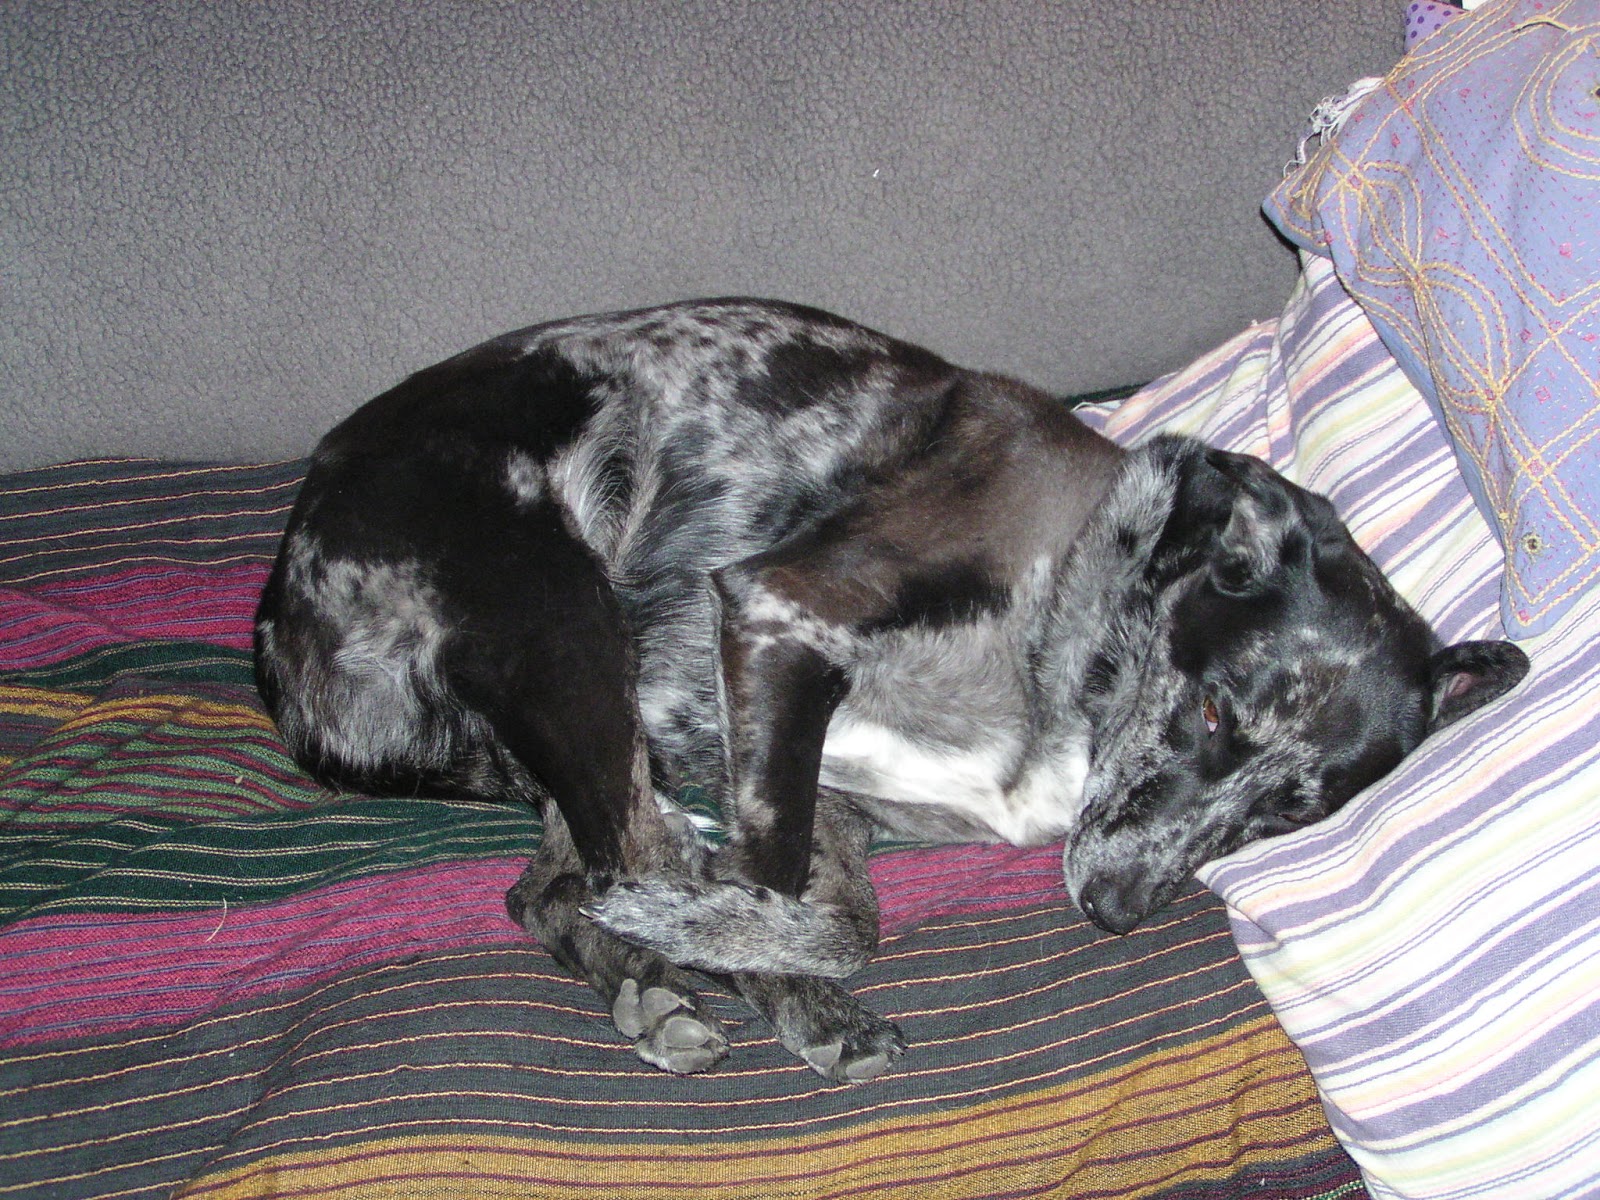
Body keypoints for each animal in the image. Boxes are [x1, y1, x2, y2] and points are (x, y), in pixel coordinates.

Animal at [255, 299, 1528, 1082]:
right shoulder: (774, 617)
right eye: (1217, 712)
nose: (1114, 911)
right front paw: (753, 956)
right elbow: (799, 906)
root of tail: (281, 602)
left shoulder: (817, 780)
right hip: (561, 628)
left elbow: (832, 909)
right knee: (613, 864)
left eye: (1290, 810)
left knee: (547, 890)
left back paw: (657, 985)